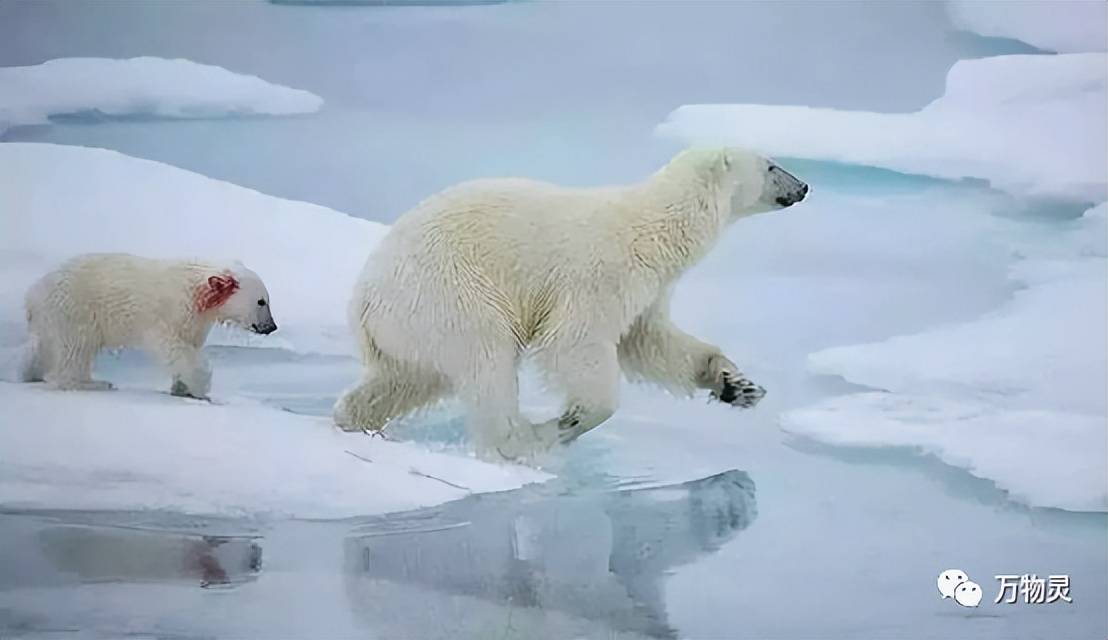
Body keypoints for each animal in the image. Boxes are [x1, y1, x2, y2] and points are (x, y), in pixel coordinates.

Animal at [332, 147, 811, 456]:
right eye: (772, 165)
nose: (804, 186)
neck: (655, 228)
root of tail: (363, 302)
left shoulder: (650, 288)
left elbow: (650, 341)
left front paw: (737, 384)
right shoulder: (602, 273)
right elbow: (575, 342)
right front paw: (570, 420)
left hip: (407, 330)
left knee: (407, 379)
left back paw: (354, 420)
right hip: (449, 296)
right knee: (487, 363)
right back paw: (525, 440)